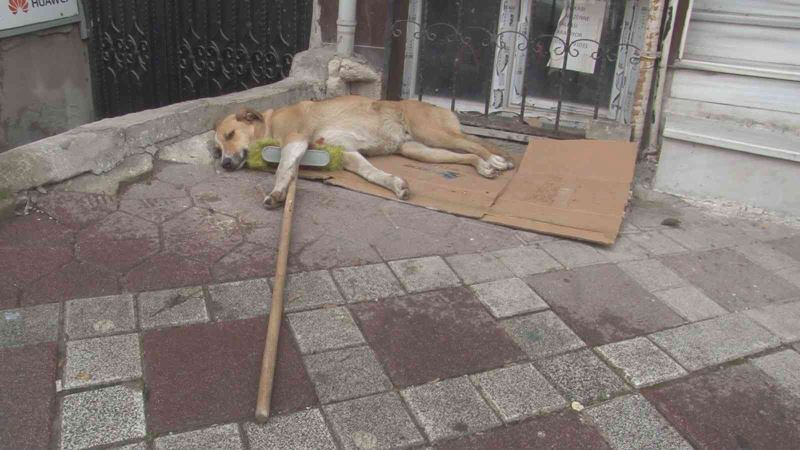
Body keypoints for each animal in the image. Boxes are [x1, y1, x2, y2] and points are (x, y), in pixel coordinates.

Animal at [212, 96, 512, 209]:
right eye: (217, 150)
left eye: (230, 135)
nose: (225, 164)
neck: (271, 123)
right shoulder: (348, 154)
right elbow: (372, 173)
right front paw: (396, 184)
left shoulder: (295, 139)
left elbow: (283, 168)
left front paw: (277, 193)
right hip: (419, 150)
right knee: (466, 155)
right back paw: (484, 167)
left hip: (434, 132)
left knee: (474, 144)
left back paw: (496, 159)